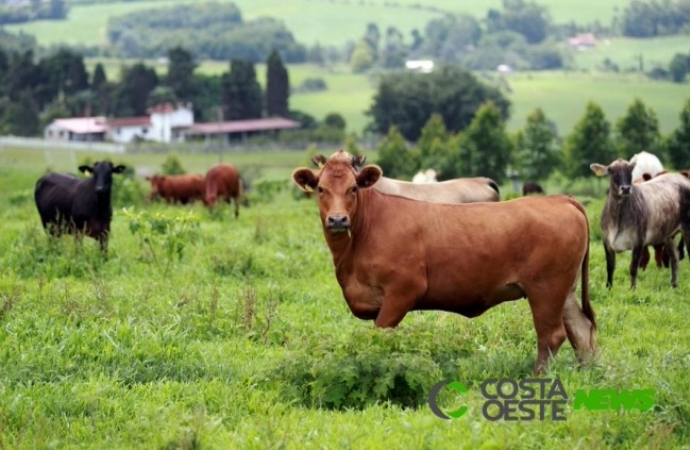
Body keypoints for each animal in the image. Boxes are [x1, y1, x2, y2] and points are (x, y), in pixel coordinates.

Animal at [292, 149, 592, 374]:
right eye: (321, 189)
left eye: (353, 188)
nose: (338, 220)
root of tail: (560, 200)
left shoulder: (404, 290)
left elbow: (382, 335)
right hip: (564, 290)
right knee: (581, 329)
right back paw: (589, 373)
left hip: (545, 289)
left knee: (551, 335)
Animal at [588, 160, 688, 290]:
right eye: (611, 171)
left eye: (630, 170)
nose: (625, 188)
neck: (618, 219)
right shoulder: (606, 241)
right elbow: (610, 267)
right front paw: (608, 288)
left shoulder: (639, 241)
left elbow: (633, 267)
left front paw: (632, 289)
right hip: (668, 235)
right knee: (675, 257)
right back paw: (674, 285)